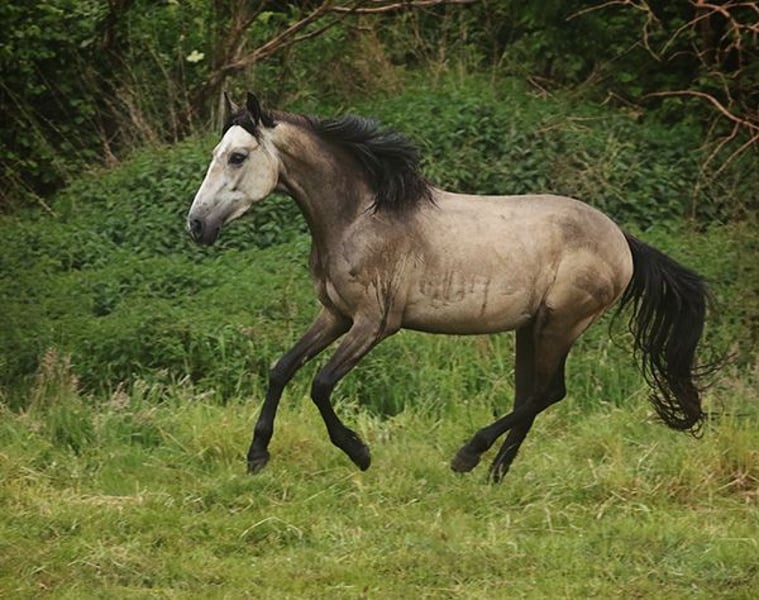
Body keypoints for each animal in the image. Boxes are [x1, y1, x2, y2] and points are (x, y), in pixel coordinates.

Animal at [186, 92, 715, 483]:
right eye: (216, 154)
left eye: (237, 156)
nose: (196, 225)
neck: (361, 216)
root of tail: (621, 240)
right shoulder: (335, 315)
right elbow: (281, 369)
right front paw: (257, 456)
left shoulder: (374, 323)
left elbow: (319, 384)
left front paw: (359, 452)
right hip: (530, 328)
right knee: (531, 394)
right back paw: (495, 472)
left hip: (561, 324)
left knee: (547, 392)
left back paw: (468, 456)